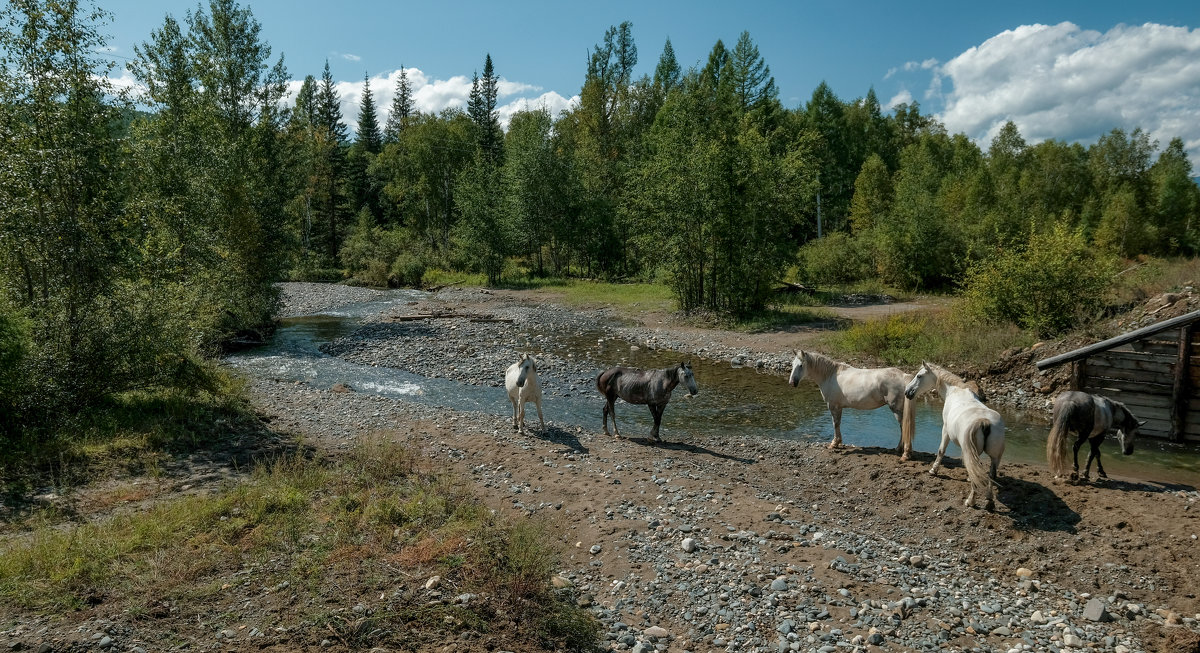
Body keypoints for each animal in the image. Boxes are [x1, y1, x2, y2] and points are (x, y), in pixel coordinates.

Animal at [787, 352, 916, 458]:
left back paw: (904, 452)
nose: (792, 383)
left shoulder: (833, 406)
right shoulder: (839, 408)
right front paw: (838, 442)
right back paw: (900, 449)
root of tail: (903, 376)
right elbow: (838, 424)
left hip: (896, 409)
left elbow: (835, 424)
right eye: (792, 365)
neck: (830, 375)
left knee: (904, 427)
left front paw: (834, 443)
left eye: (801, 365)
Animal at [902, 362, 1008, 508]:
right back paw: (989, 500)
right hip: (995, 457)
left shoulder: (945, 429)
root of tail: (984, 422)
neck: (954, 391)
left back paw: (970, 501)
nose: (907, 392)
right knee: (991, 474)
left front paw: (933, 470)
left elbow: (941, 450)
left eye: (919, 376)